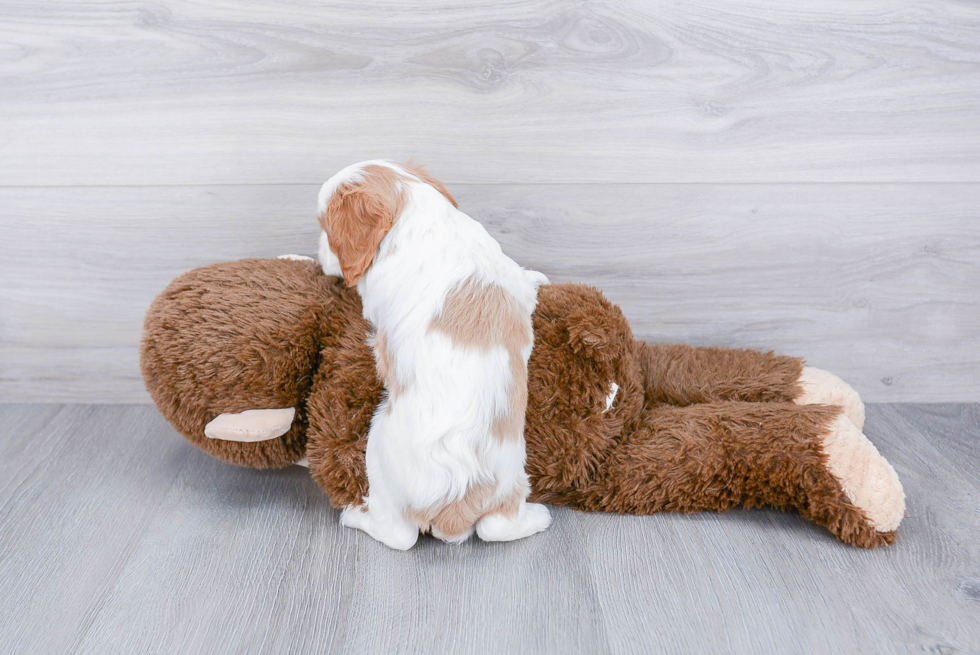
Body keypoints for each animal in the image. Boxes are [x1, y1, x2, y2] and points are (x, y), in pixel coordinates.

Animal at [320, 161, 552, 552]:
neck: (414, 211)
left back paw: (355, 516)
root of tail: (454, 507)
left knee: (399, 535)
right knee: (498, 526)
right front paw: (537, 277)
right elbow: (523, 283)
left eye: (325, 229)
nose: (319, 254)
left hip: (377, 452)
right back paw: (540, 517)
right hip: (512, 479)